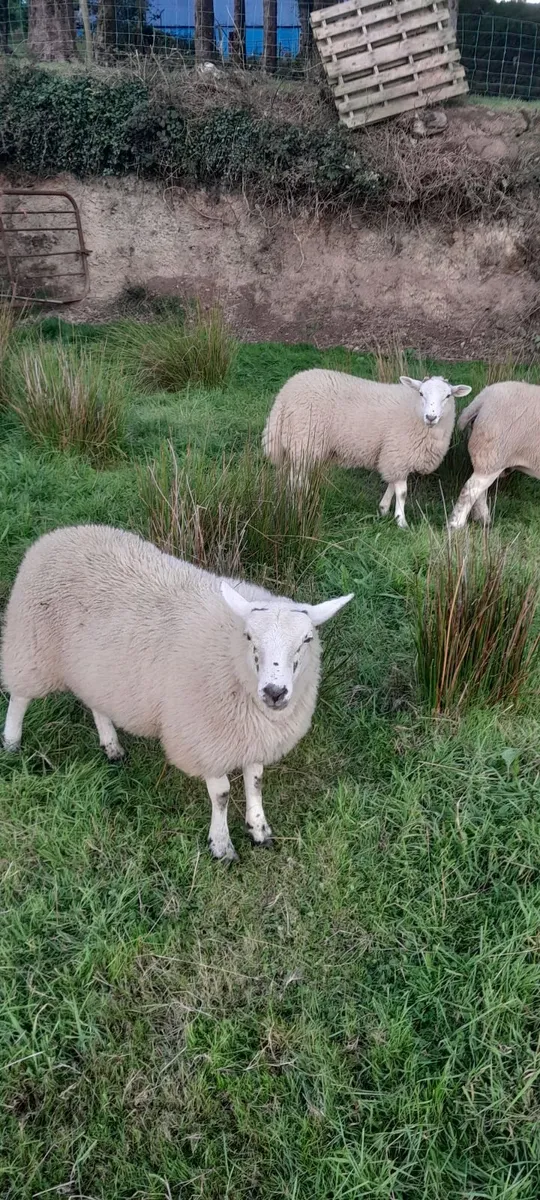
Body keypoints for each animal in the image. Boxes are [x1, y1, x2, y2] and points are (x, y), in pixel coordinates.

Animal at [1, 525, 353, 863]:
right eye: (249, 637)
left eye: (307, 639)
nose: (275, 692)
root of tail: (58, 535)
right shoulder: (203, 739)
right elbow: (222, 794)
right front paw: (221, 846)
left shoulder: (250, 735)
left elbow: (255, 781)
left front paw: (258, 829)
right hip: (31, 646)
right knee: (19, 698)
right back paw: (11, 743)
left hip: (93, 670)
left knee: (96, 702)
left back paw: (112, 746)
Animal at [262, 369, 472, 528]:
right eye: (421, 393)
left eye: (448, 396)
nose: (431, 417)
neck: (415, 413)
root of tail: (284, 394)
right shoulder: (399, 451)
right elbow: (402, 492)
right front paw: (401, 521)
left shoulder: (393, 454)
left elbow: (392, 484)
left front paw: (384, 510)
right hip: (304, 440)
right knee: (297, 480)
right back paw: (298, 505)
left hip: (296, 443)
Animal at [448, 381, 540, 529]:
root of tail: (483, 398)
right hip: (493, 456)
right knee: (470, 490)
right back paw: (456, 525)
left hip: (488, 459)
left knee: (479, 491)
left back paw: (483, 519)